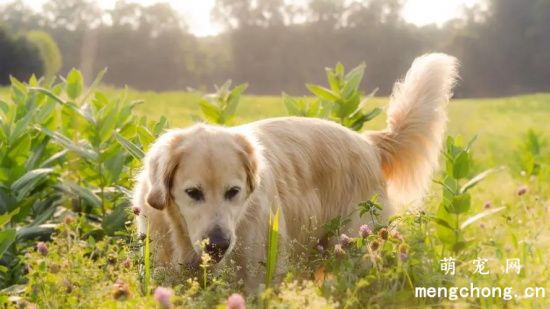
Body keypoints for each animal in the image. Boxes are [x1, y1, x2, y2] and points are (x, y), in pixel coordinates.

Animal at [132, 53, 460, 288]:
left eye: (233, 192)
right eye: (192, 192)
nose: (218, 245)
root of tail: (367, 142)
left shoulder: (257, 276)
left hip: (356, 246)